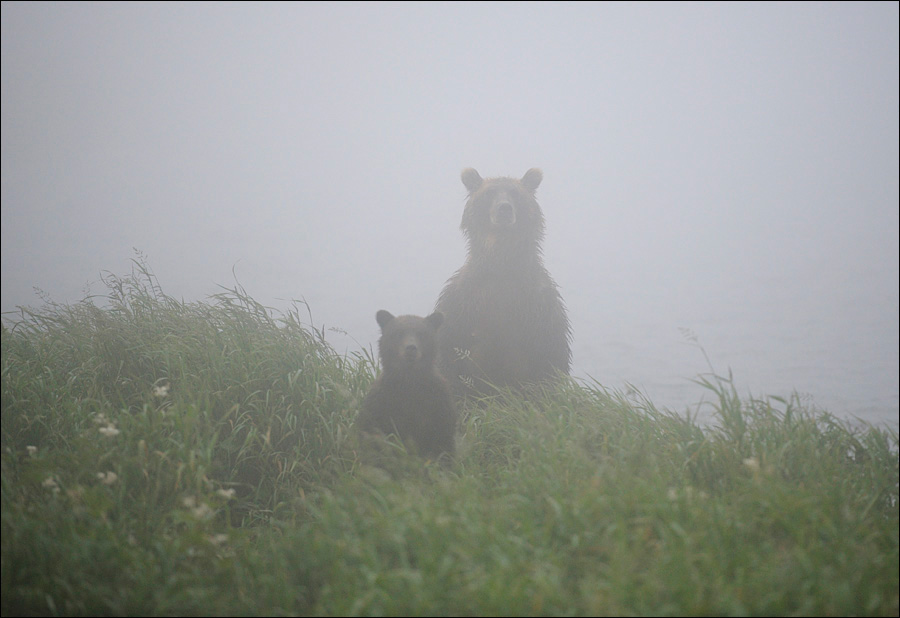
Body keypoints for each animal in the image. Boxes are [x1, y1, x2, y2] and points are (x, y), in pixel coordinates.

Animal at [434, 167, 568, 400]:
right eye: (490, 193)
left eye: (515, 193)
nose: (504, 208)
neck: (501, 267)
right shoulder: (462, 303)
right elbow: (450, 355)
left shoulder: (540, 305)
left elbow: (549, 360)